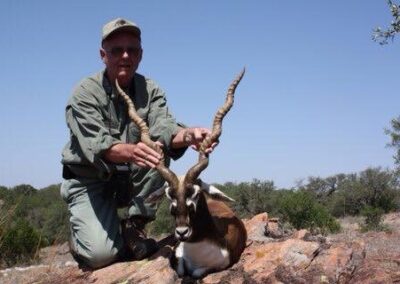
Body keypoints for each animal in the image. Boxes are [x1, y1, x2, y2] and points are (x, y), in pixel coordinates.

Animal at [115, 70, 247, 278]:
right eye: (169, 195)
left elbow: (195, 273)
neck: (199, 250)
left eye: (195, 192)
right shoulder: (177, 256)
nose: (182, 232)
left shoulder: (214, 266)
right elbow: (179, 269)